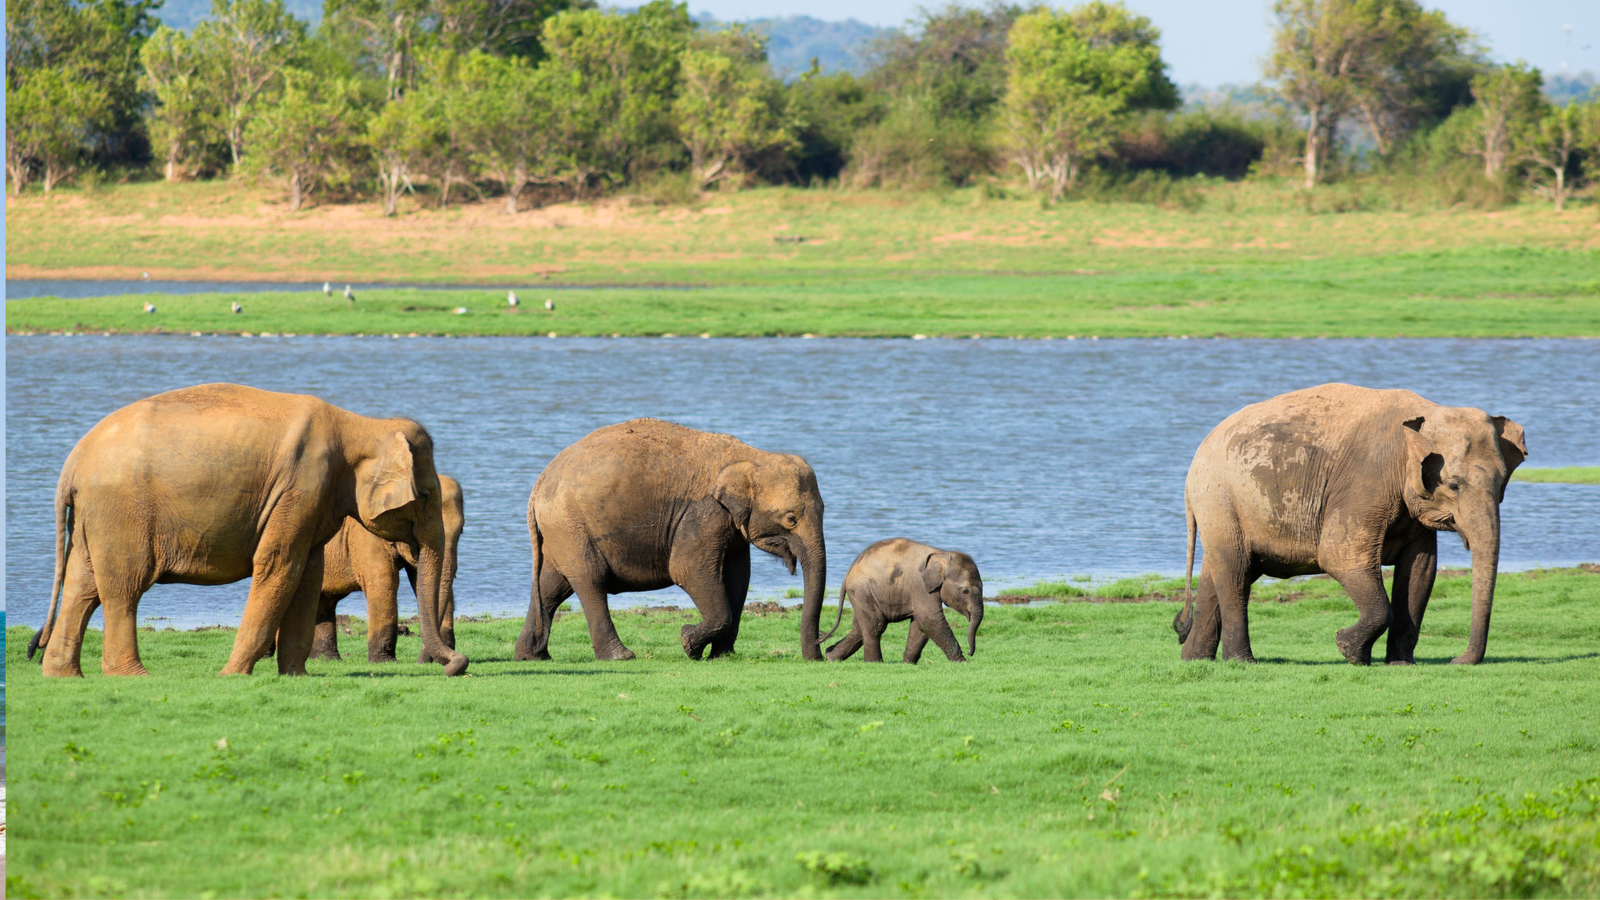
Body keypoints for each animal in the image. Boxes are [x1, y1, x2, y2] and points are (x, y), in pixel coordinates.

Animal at [309, 475, 464, 664]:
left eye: (461, 531)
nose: (421, 662)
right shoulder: (364, 532)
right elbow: (383, 581)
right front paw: (384, 662)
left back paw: (327, 660)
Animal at [514, 418, 827, 662]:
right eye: (791, 519)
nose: (819, 655)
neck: (753, 456)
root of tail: (539, 484)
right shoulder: (704, 514)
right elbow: (687, 569)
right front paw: (688, 642)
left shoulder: (730, 526)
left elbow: (738, 579)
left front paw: (721, 655)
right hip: (570, 526)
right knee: (590, 579)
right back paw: (621, 656)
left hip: (561, 531)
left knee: (551, 585)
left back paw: (532, 656)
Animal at [821, 538, 984, 664]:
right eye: (965, 591)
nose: (970, 653)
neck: (943, 554)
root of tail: (849, 571)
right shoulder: (920, 586)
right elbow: (930, 619)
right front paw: (963, 663)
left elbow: (921, 625)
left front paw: (908, 664)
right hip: (861, 589)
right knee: (875, 624)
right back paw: (875, 663)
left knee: (860, 628)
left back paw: (830, 656)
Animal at [1174, 383, 1527, 666]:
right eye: (1453, 485)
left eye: (1501, 486)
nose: (1457, 661)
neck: (1426, 412)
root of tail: (1193, 466)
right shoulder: (1366, 482)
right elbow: (1339, 556)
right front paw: (1349, 651)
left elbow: (1421, 570)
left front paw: (1401, 664)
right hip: (1219, 500)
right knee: (1235, 571)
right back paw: (1243, 662)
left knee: (1218, 572)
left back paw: (1195, 660)